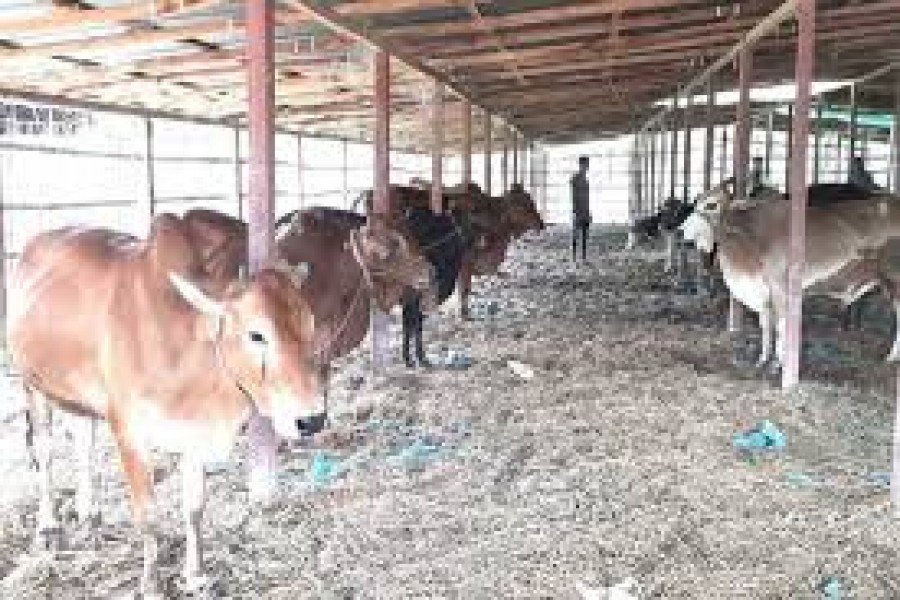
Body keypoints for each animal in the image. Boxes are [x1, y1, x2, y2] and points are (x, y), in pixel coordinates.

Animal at [8, 213, 324, 597]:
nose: (312, 419)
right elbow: (149, 514)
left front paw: (196, 575)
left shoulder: (194, 435)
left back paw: (91, 515)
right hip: (32, 384)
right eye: (257, 334)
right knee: (46, 452)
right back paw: (49, 527)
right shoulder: (129, 431)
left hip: (78, 399)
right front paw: (152, 584)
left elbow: (195, 508)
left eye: (310, 328)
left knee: (84, 445)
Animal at [680, 179, 900, 369]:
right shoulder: (764, 293)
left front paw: (779, 363)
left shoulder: (779, 289)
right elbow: (766, 326)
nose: (680, 230)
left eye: (711, 204)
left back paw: (891, 357)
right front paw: (762, 359)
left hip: (894, 282)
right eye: (696, 201)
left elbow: (781, 326)